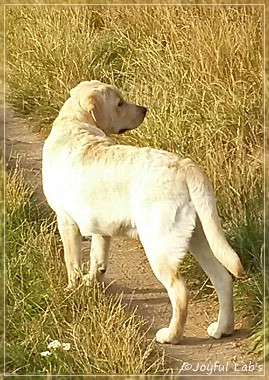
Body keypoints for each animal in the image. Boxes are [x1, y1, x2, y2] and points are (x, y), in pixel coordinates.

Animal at [42, 80, 243, 344]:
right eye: (119, 103)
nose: (144, 109)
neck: (75, 123)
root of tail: (184, 166)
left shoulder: (66, 221)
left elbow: (72, 262)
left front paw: (71, 290)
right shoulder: (99, 228)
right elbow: (97, 259)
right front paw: (90, 284)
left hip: (158, 245)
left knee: (180, 291)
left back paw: (171, 335)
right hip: (201, 237)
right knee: (223, 278)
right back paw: (222, 329)